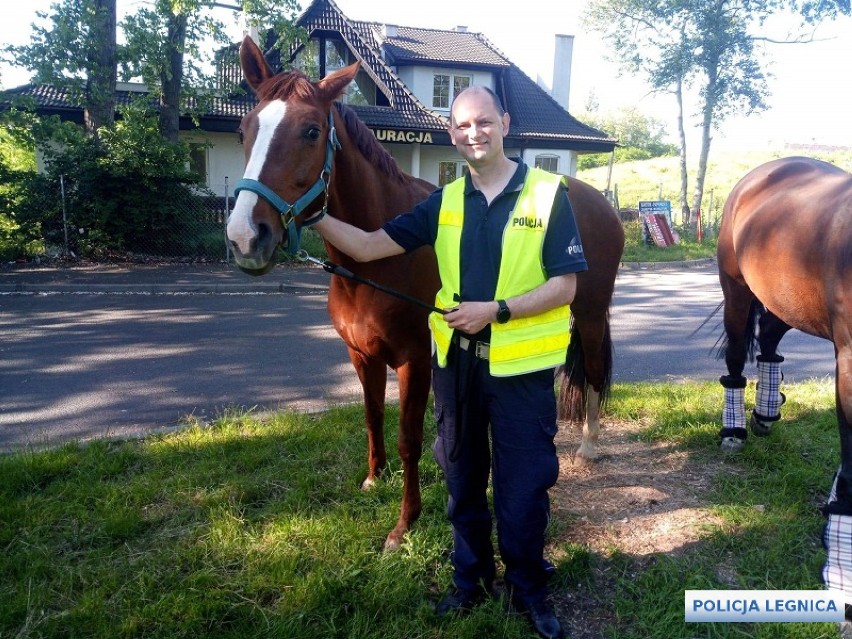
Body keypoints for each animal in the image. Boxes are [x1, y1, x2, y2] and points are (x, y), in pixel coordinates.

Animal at [226, 36, 624, 552]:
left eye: (311, 131)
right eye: (244, 129)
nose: (245, 238)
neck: (372, 265)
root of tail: (603, 203)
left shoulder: (414, 360)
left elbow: (408, 438)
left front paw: (403, 524)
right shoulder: (362, 355)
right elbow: (373, 416)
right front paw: (373, 477)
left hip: (591, 314)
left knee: (592, 372)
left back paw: (590, 444)